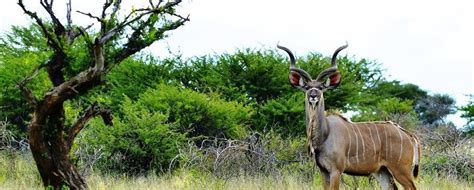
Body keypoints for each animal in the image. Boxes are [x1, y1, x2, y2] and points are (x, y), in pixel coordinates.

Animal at [278, 43, 422, 189]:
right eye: (307, 87)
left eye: (321, 87)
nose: (313, 96)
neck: (325, 134)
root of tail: (409, 135)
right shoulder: (323, 171)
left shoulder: (336, 170)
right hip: (382, 171)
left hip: (401, 170)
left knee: (411, 187)